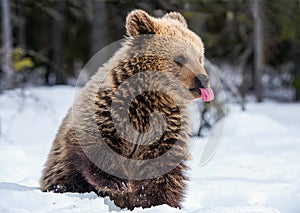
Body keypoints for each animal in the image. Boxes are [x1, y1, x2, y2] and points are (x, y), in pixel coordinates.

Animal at [40, 9, 213, 210]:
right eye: (180, 58)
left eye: (199, 56)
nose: (202, 79)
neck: (150, 97)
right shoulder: (108, 110)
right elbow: (96, 146)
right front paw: (119, 182)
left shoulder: (167, 125)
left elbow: (162, 171)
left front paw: (157, 202)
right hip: (62, 171)